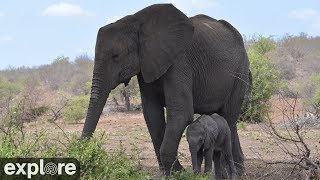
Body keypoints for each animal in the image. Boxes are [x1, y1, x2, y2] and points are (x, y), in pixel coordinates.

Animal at [80, 3, 250, 176]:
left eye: (116, 56)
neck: (137, 22)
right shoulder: (147, 63)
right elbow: (152, 114)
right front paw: (171, 173)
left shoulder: (179, 60)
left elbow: (181, 113)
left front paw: (177, 173)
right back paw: (237, 171)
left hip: (240, 71)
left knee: (229, 117)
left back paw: (229, 173)